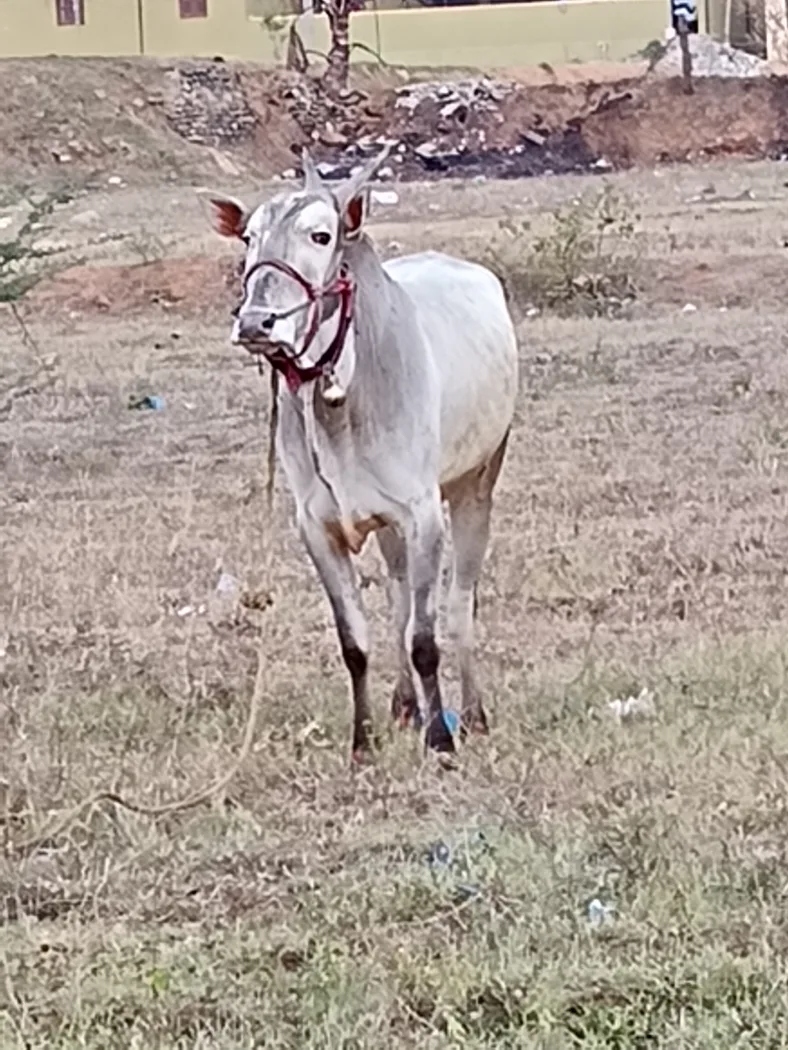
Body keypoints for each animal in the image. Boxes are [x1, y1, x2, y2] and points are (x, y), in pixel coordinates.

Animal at [205, 147, 518, 764]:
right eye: (248, 237)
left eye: (321, 235)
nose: (255, 323)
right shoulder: (319, 527)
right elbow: (356, 641)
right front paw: (364, 742)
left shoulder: (422, 514)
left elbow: (425, 640)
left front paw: (441, 740)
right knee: (399, 600)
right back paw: (406, 705)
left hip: (476, 484)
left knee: (459, 604)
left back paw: (471, 712)